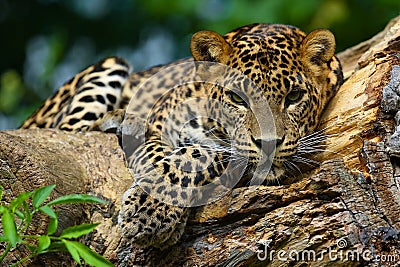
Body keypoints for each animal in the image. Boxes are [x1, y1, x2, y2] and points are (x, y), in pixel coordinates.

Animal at [20, 23, 342, 249]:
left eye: (294, 96)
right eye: (237, 99)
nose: (269, 144)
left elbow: (200, 154)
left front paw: (150, 213)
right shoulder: (160, 125)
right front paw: (149, 211)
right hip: (108, 66)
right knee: (68, 130)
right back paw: (121, 118)